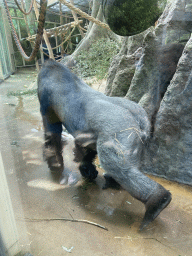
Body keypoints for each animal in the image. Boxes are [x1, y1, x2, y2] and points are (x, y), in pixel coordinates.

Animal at [37, 59, 171, 230]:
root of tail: (139, 118)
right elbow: (85, 147)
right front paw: (86, 168)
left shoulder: (46, 98)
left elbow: (52, 134)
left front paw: (55, 162)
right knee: (126, 167)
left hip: (120, 130)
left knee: (117, 167)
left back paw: (158, 200)